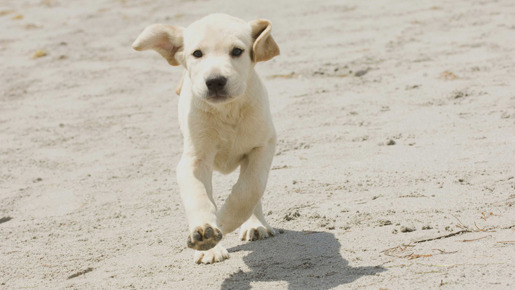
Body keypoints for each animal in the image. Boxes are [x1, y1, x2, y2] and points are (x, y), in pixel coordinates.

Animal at [131, 13, 280, 262]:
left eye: (237, 51)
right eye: (197, 54)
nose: (215, 81)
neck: (226, 112)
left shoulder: (263, 146)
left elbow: (250, 189)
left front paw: (225, 219)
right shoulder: (194, 161)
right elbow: (198, 196)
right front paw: (205, 233)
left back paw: (255, 224)